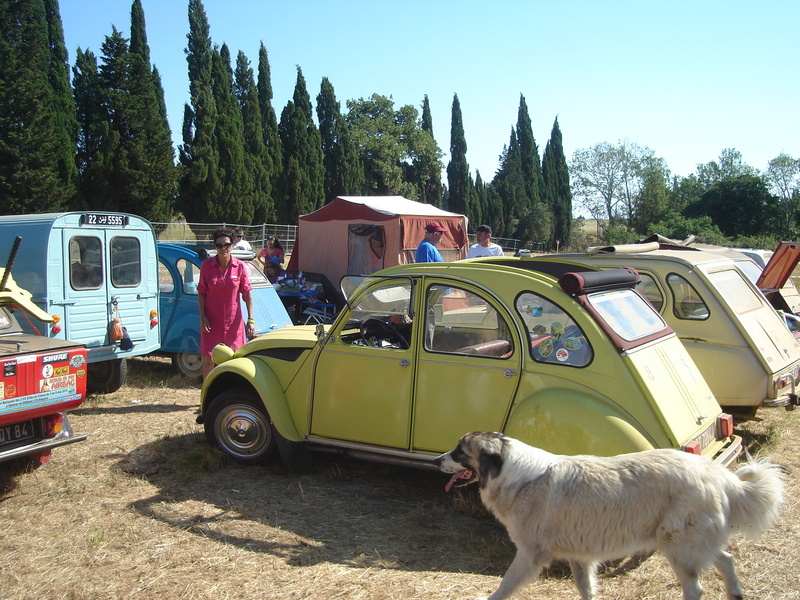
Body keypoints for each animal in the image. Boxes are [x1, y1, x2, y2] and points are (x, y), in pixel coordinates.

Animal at [434, 432, 784, 600]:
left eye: (460, 451)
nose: (437, 460)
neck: (509, 471)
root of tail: (718, 474)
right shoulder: (580, 557)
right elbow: (586, 588)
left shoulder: (530, 554)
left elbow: (505, 586)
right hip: (694, 542)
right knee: (725, 558)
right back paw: (735, 593)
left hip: (679, 547)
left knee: (696, 588)